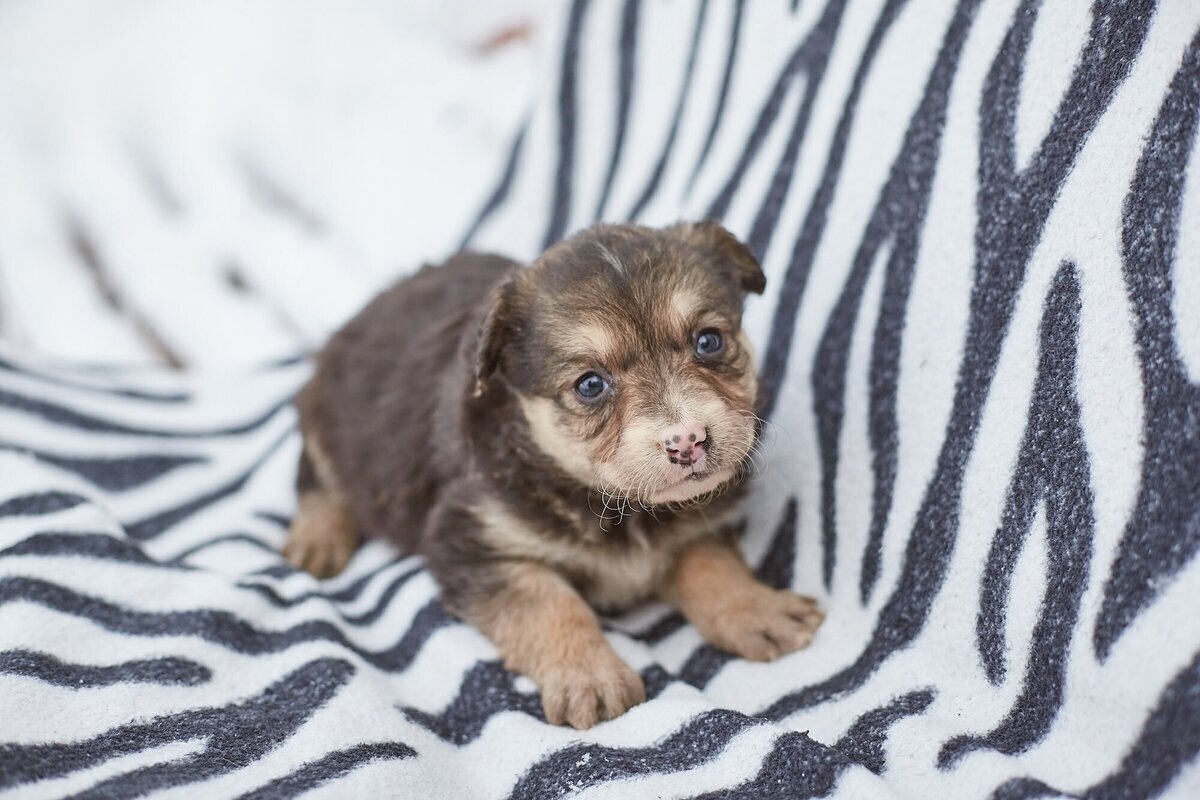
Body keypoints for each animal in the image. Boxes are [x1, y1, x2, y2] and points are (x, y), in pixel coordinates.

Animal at [283, 221, 825, 729]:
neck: (615, 506)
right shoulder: (474, 542)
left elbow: (711, 564)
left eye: (709, 341)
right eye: (590, 385)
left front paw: (758, 610)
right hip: (324, 420)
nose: (687, 441)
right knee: (313, 476)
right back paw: (317, 539)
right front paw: (590, 677)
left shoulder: (698, 524)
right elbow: (549, 604)